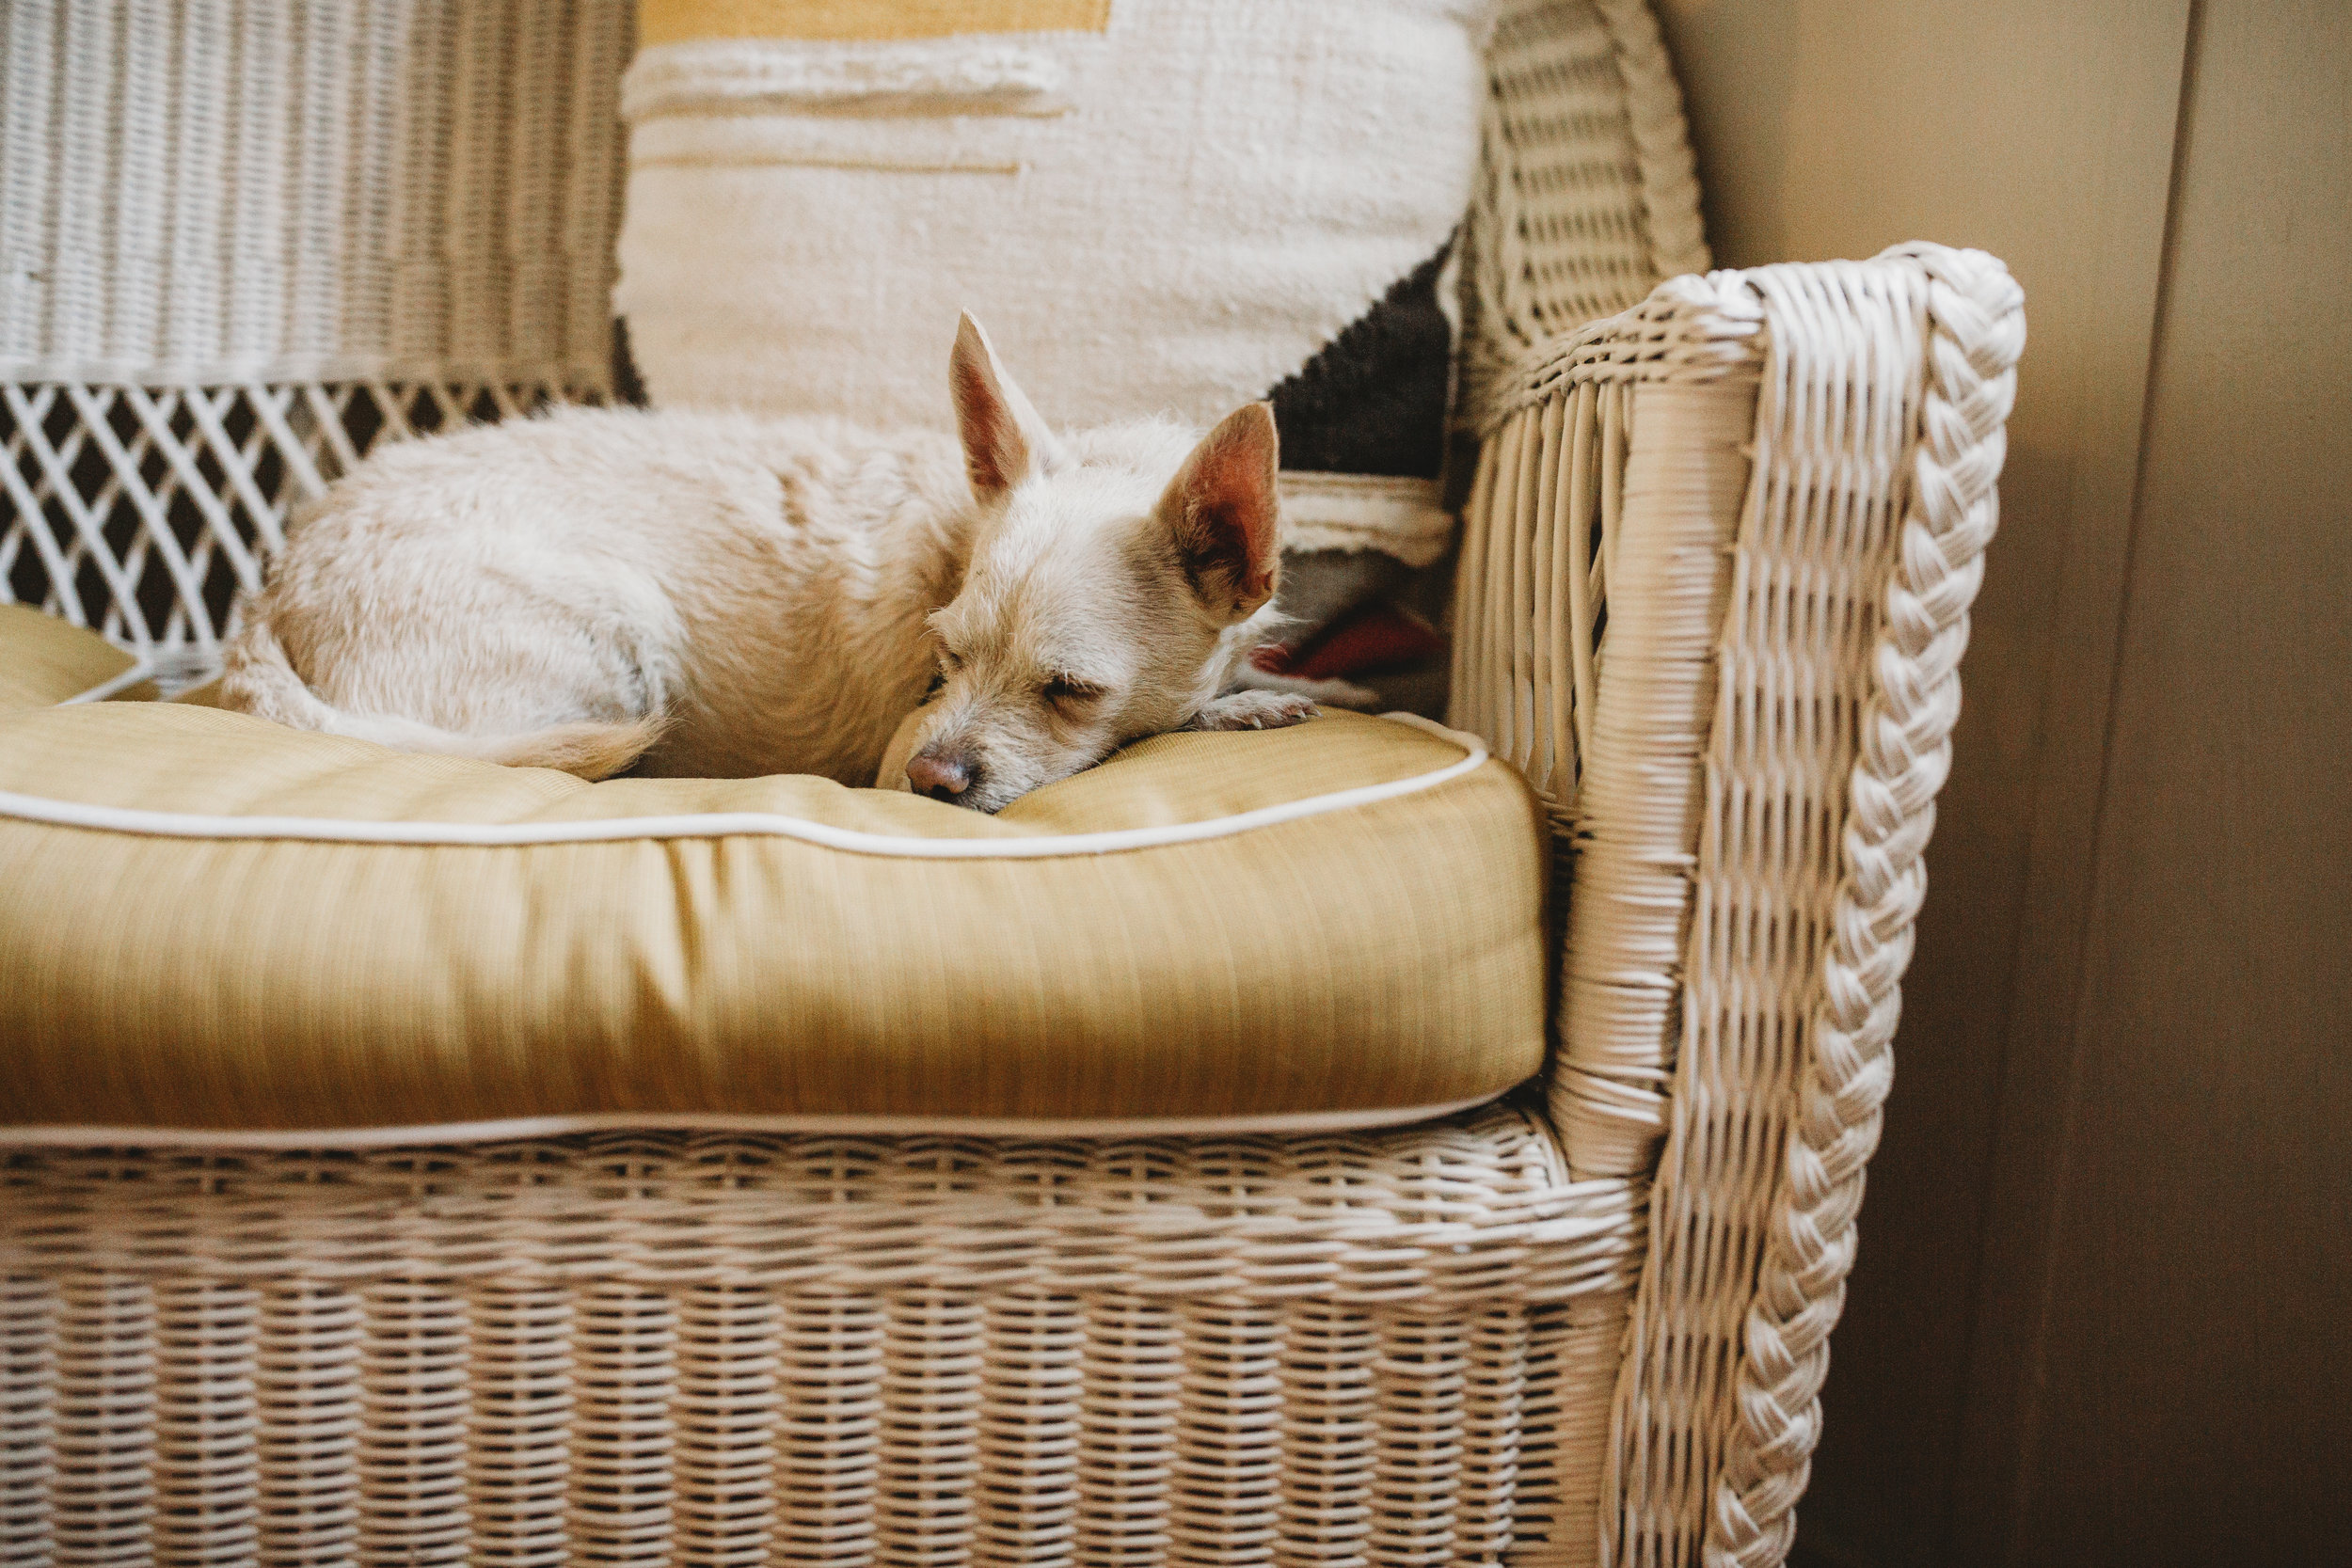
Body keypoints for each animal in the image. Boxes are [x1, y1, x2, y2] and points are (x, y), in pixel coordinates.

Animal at [218, 314, 1317, 817]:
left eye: (1071, 690)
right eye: (945, 660)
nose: (929, 778)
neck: (955, 533)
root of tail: (269, 597)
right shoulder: (899, 740)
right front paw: (1239, 705)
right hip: (617, 636)